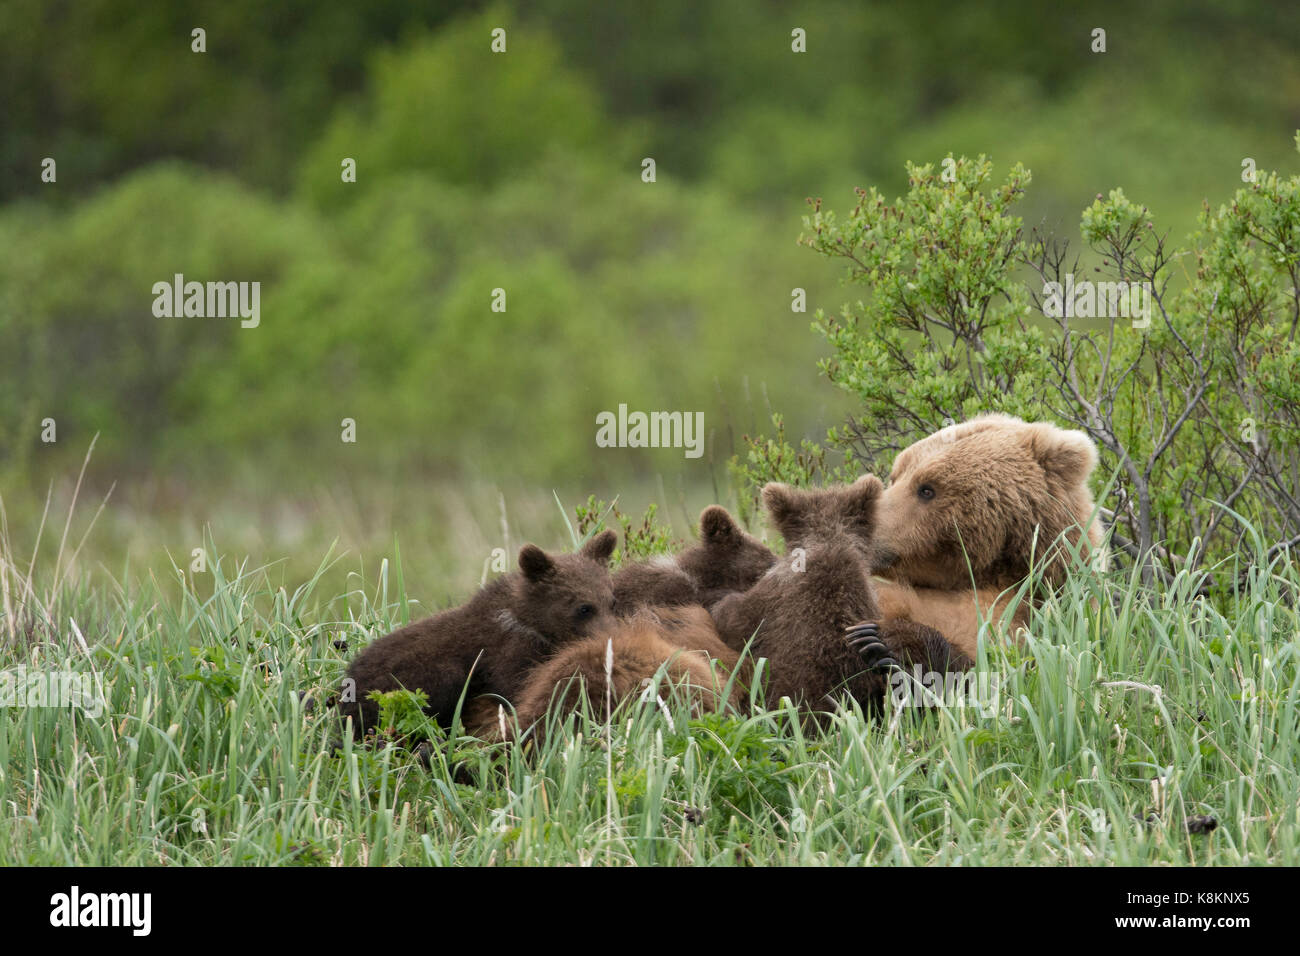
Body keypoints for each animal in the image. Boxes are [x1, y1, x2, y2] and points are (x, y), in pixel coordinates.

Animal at [335, 528, 618, 738]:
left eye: (611, 600)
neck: (529, 621)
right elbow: (515, 689)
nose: (611, 636)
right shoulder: (505, 653)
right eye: (584, 608)